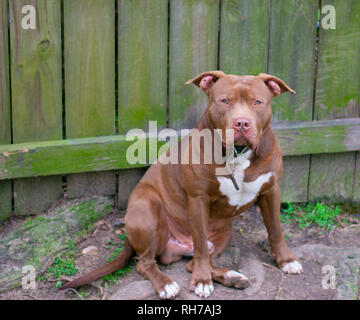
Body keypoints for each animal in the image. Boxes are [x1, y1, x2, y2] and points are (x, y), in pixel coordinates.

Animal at [60, 71, 302, 298]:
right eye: (224, 101)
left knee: (191, 263)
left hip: (225, 234)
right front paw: (202, 281)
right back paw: (167, 284)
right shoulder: (198, 199)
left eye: (257, 102)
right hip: (146, 209)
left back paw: (231, 277)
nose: (241, 123)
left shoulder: (271, 191)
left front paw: (286, 260)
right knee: (147, 263)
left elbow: (276, 229)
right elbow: (201, 247)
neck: (238, 153)